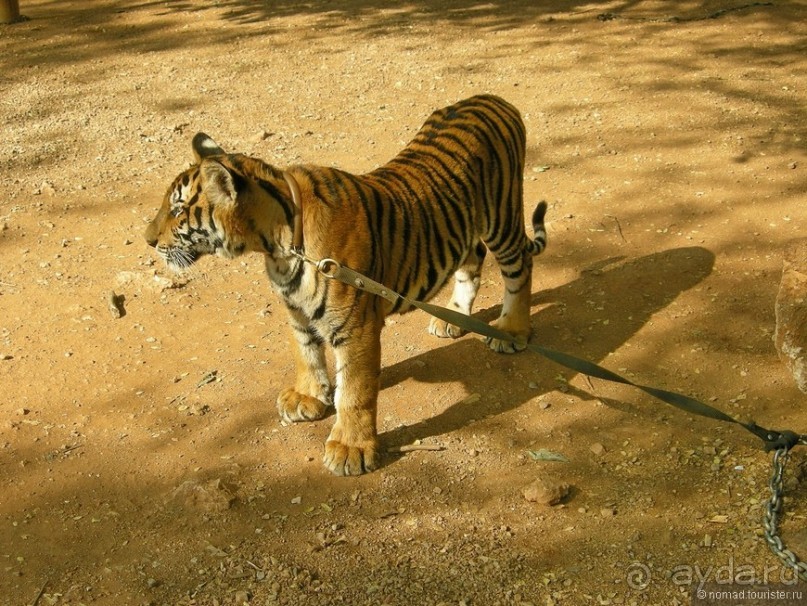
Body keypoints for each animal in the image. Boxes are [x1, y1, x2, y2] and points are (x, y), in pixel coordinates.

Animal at [145, 94, 548, 476]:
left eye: (178, 210)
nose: (148, 240)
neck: (280, 246)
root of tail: (493, 98)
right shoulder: (296, 310)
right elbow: (305, 353)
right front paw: (307, 398)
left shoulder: (356, 327)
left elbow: (355, 392)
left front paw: (350, 448)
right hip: (462, 224)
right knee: (473, 255)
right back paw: (451, 317)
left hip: (501, 217)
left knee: (520, 266)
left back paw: (511, 330)